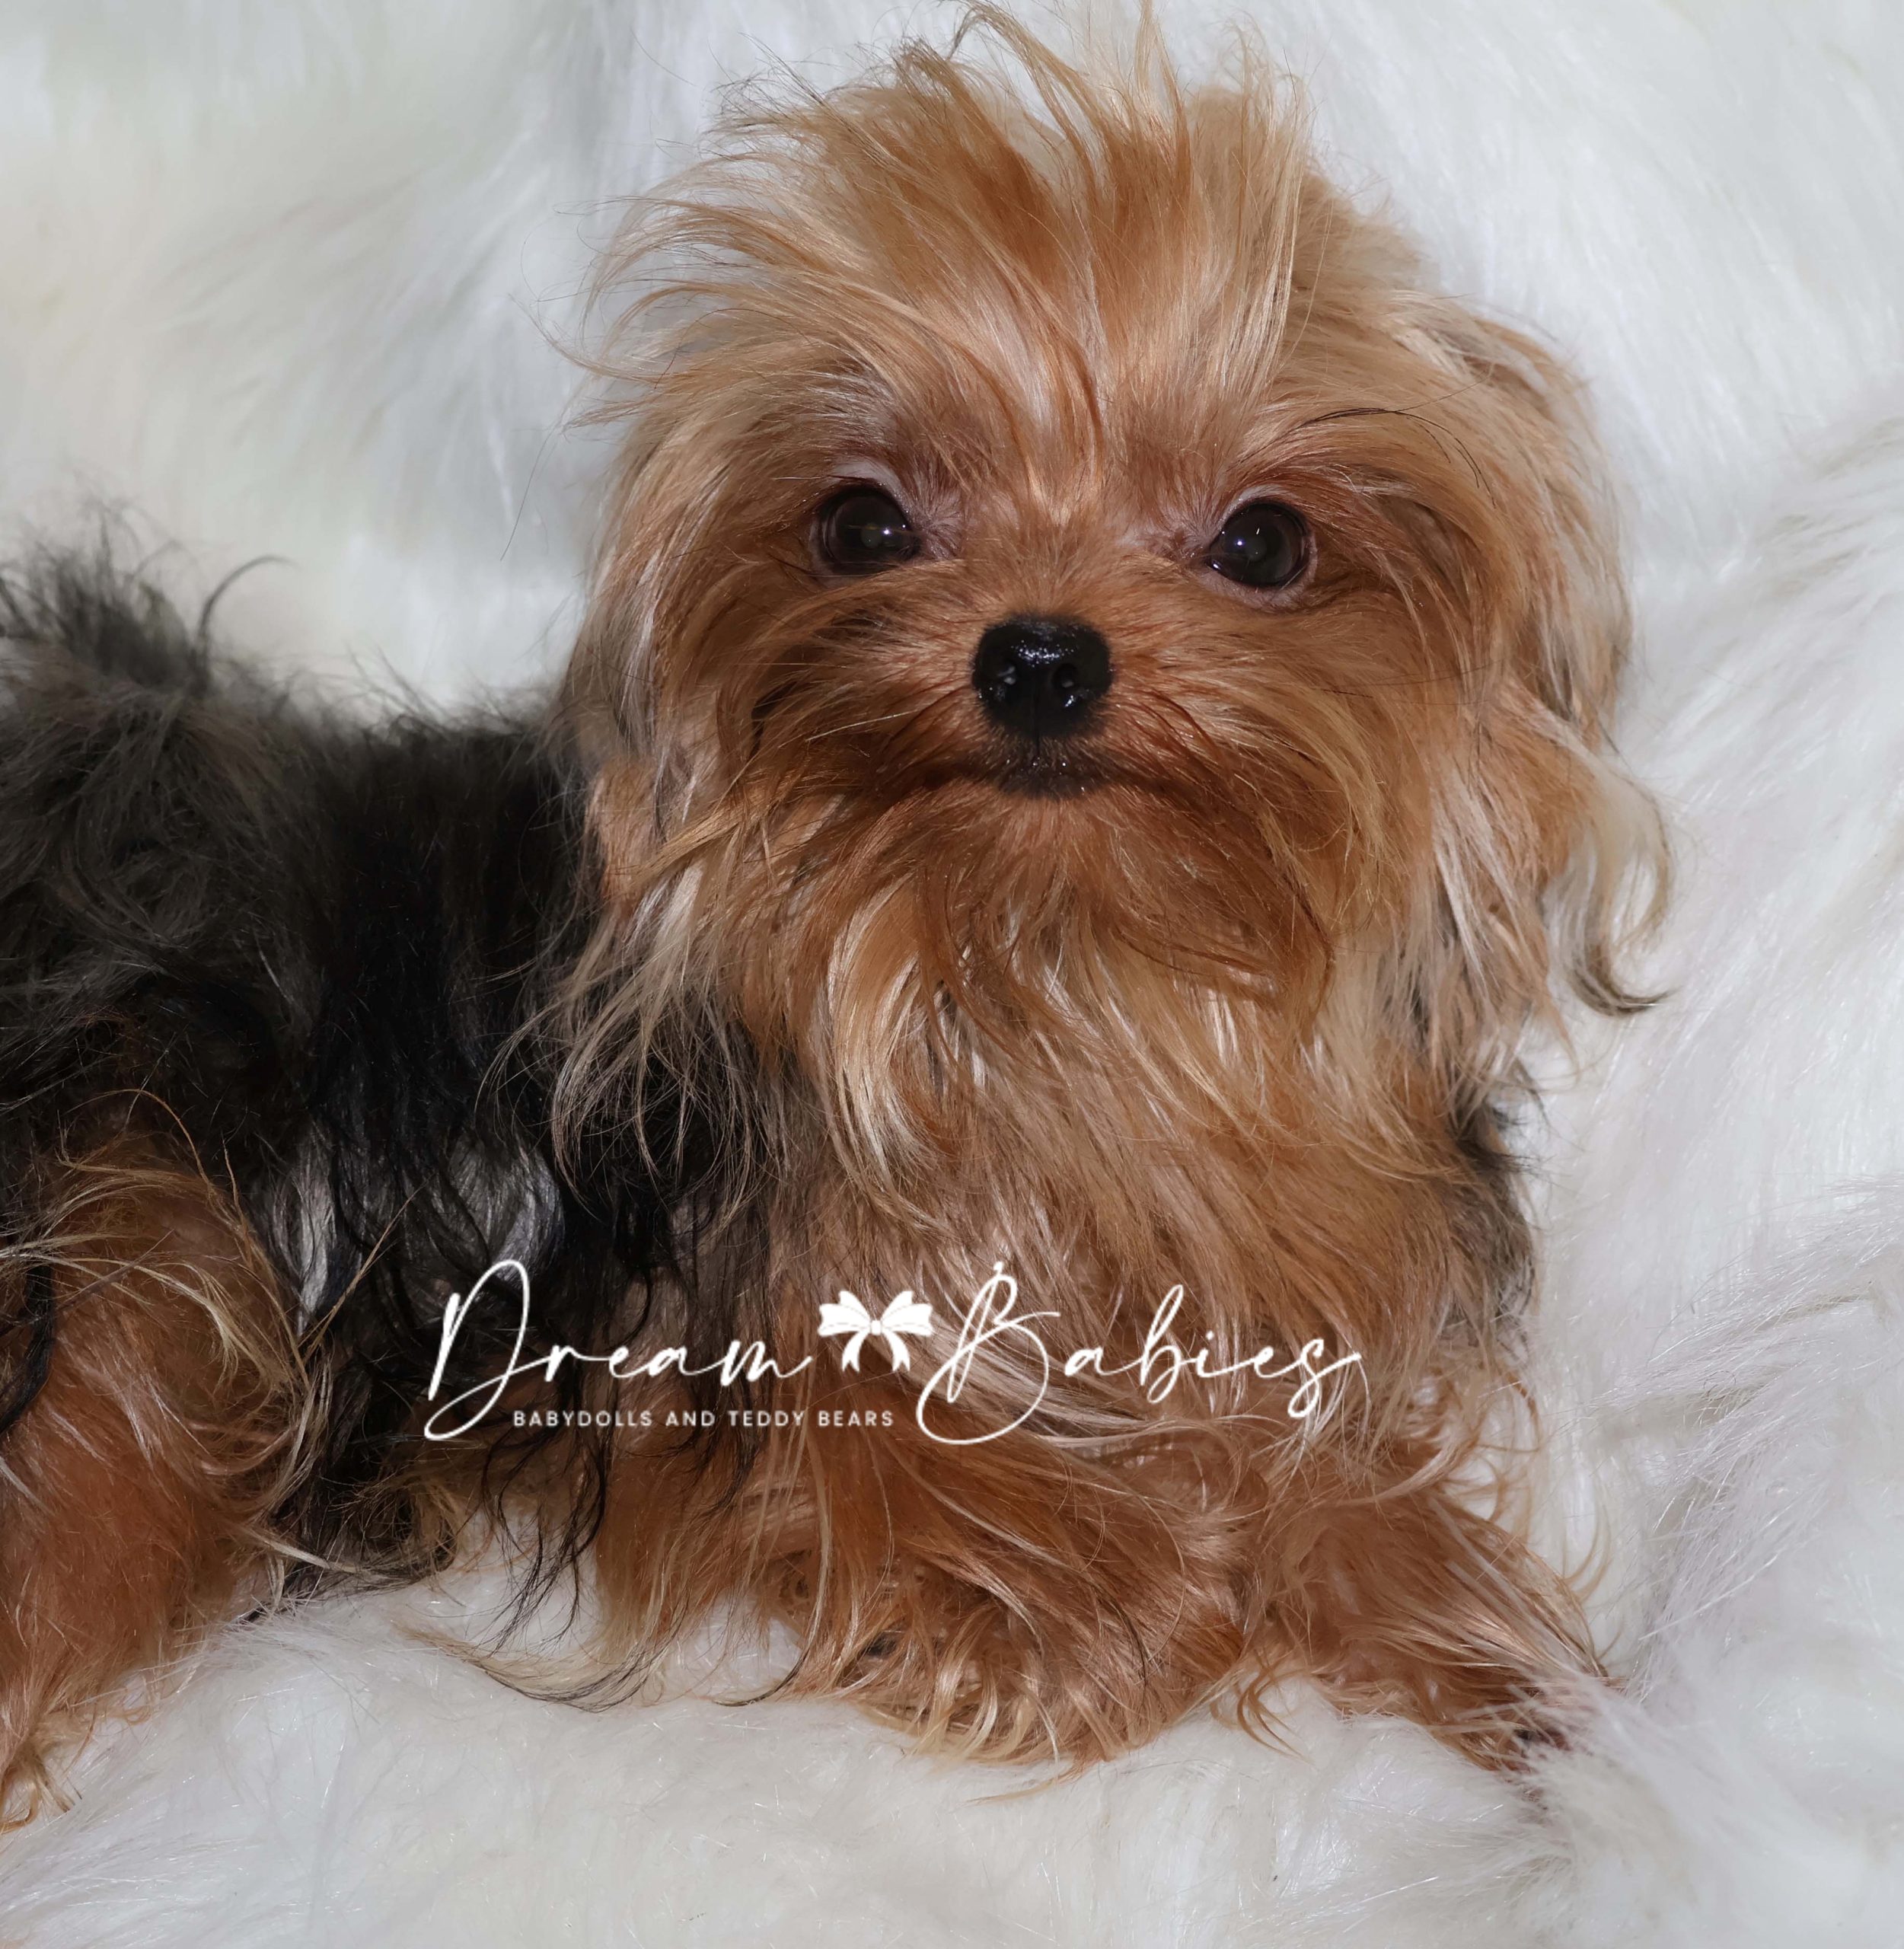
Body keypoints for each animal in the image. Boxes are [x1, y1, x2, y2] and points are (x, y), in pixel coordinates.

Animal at [0, 11, 1660, 1820]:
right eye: (862, 522)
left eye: (1264, 542)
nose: (1037, 654)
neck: (1042, 975)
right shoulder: (716, 1344)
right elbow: (929, 1467)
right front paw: (1121, 1600)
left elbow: (1305, 1443)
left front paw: (1495, 1663)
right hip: (144, 1205)